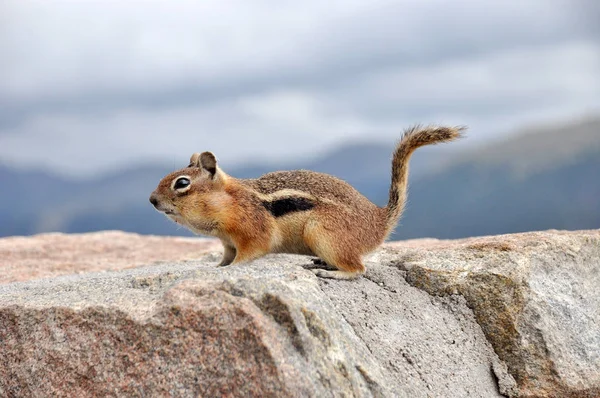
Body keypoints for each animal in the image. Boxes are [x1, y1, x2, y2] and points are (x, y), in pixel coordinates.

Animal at [150, 126, 464, 278]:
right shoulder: (227, 242)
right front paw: (218, 268)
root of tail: (379, 220)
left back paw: (333, 273)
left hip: (322, 232)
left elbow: (248, 255)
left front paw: (232, 269)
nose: (152, 200)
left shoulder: (252, 234)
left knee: (358, 269)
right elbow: (225, 257)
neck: (230, 202)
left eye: (182, 183)